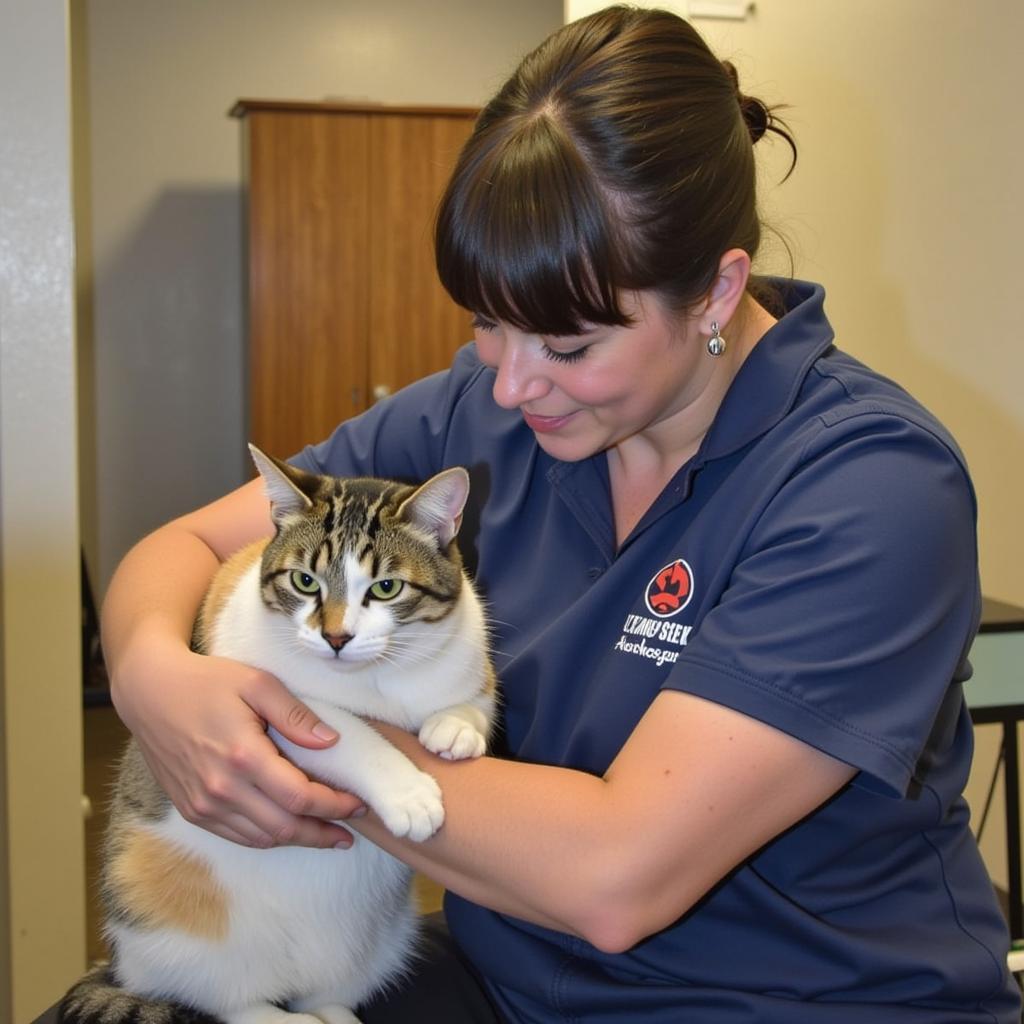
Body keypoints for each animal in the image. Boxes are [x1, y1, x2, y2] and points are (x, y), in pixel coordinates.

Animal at [59, 448, 495, 1024]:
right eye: (305, 581)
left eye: (386, 587)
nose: (336, 637)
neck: (377, 676)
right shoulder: (257, 699)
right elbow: (344, 731)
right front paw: (409, 794)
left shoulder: (467, 653)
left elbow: (477, 697)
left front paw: (456, 728)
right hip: (168, 925)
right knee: (231, 1002)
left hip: (379, 948)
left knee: (329, 994)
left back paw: (335, 1014)